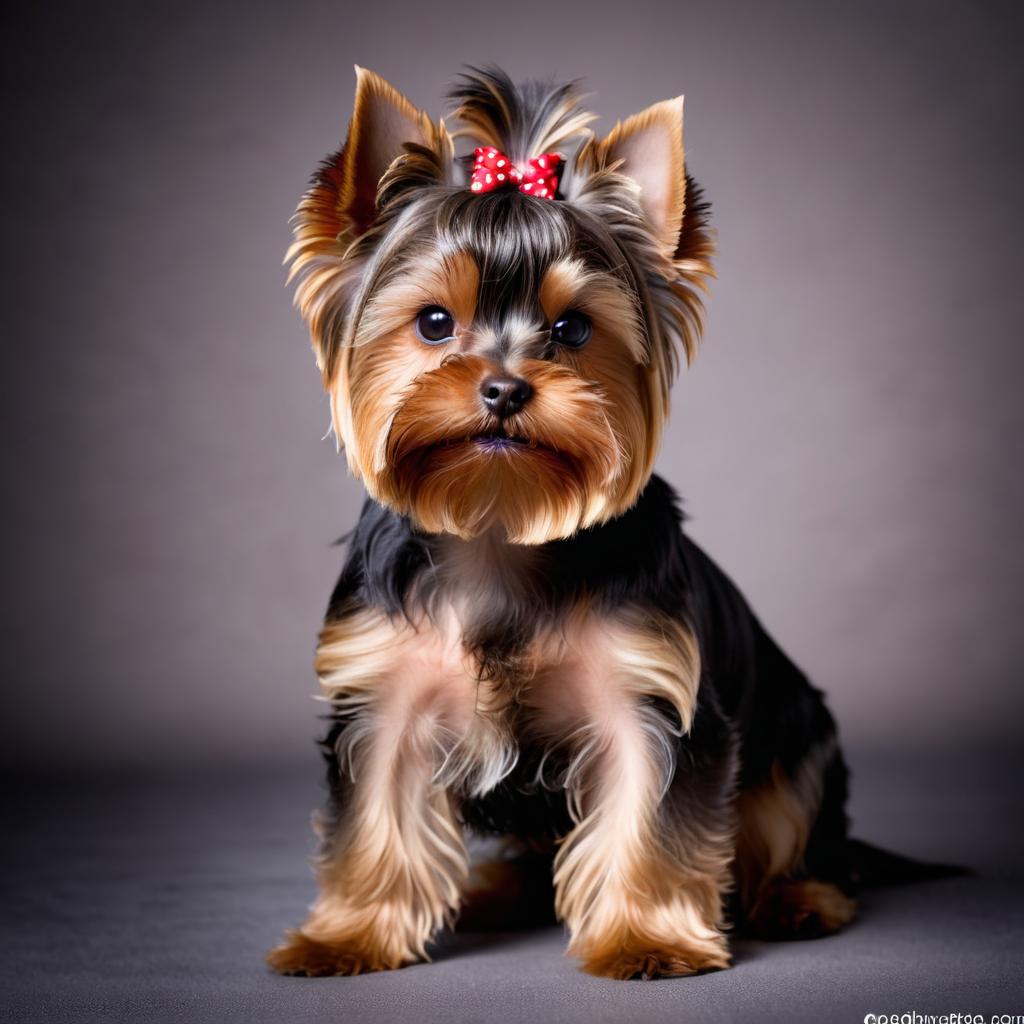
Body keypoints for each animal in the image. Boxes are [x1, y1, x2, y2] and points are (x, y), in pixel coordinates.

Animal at [268, 64, 868, 974]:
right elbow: (373, 815)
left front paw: (647, 939)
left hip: (801, 736)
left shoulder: (649, 697)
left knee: (786, 821)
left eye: (574, 328)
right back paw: (490, 892)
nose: (504, 389)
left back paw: (801, 899)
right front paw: (347, 936)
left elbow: (651, 819)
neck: (497, 524)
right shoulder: (383, 696)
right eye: (434, 322)